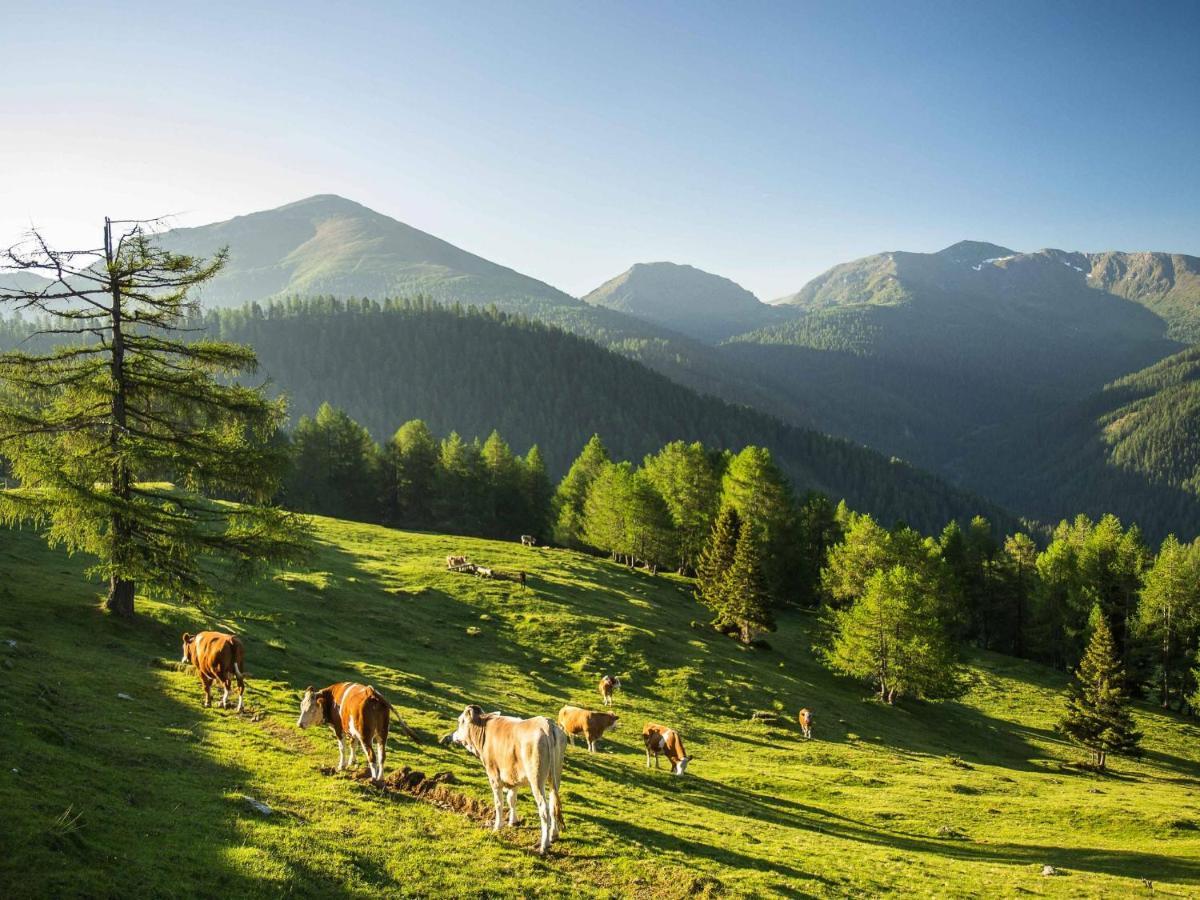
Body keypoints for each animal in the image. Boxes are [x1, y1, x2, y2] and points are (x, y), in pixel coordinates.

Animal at [451, 705, 564, 854]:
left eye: (460, 721)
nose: (454, 735)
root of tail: (546, 723)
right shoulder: (513, 775)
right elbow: (512, 799)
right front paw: (512, 821)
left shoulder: (494, 776)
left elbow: (499, 802)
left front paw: (497, 826)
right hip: (555, 776)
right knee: (553, 804)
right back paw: (553, 835)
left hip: (536, 780)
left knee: (543, 809)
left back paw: (543, 845)